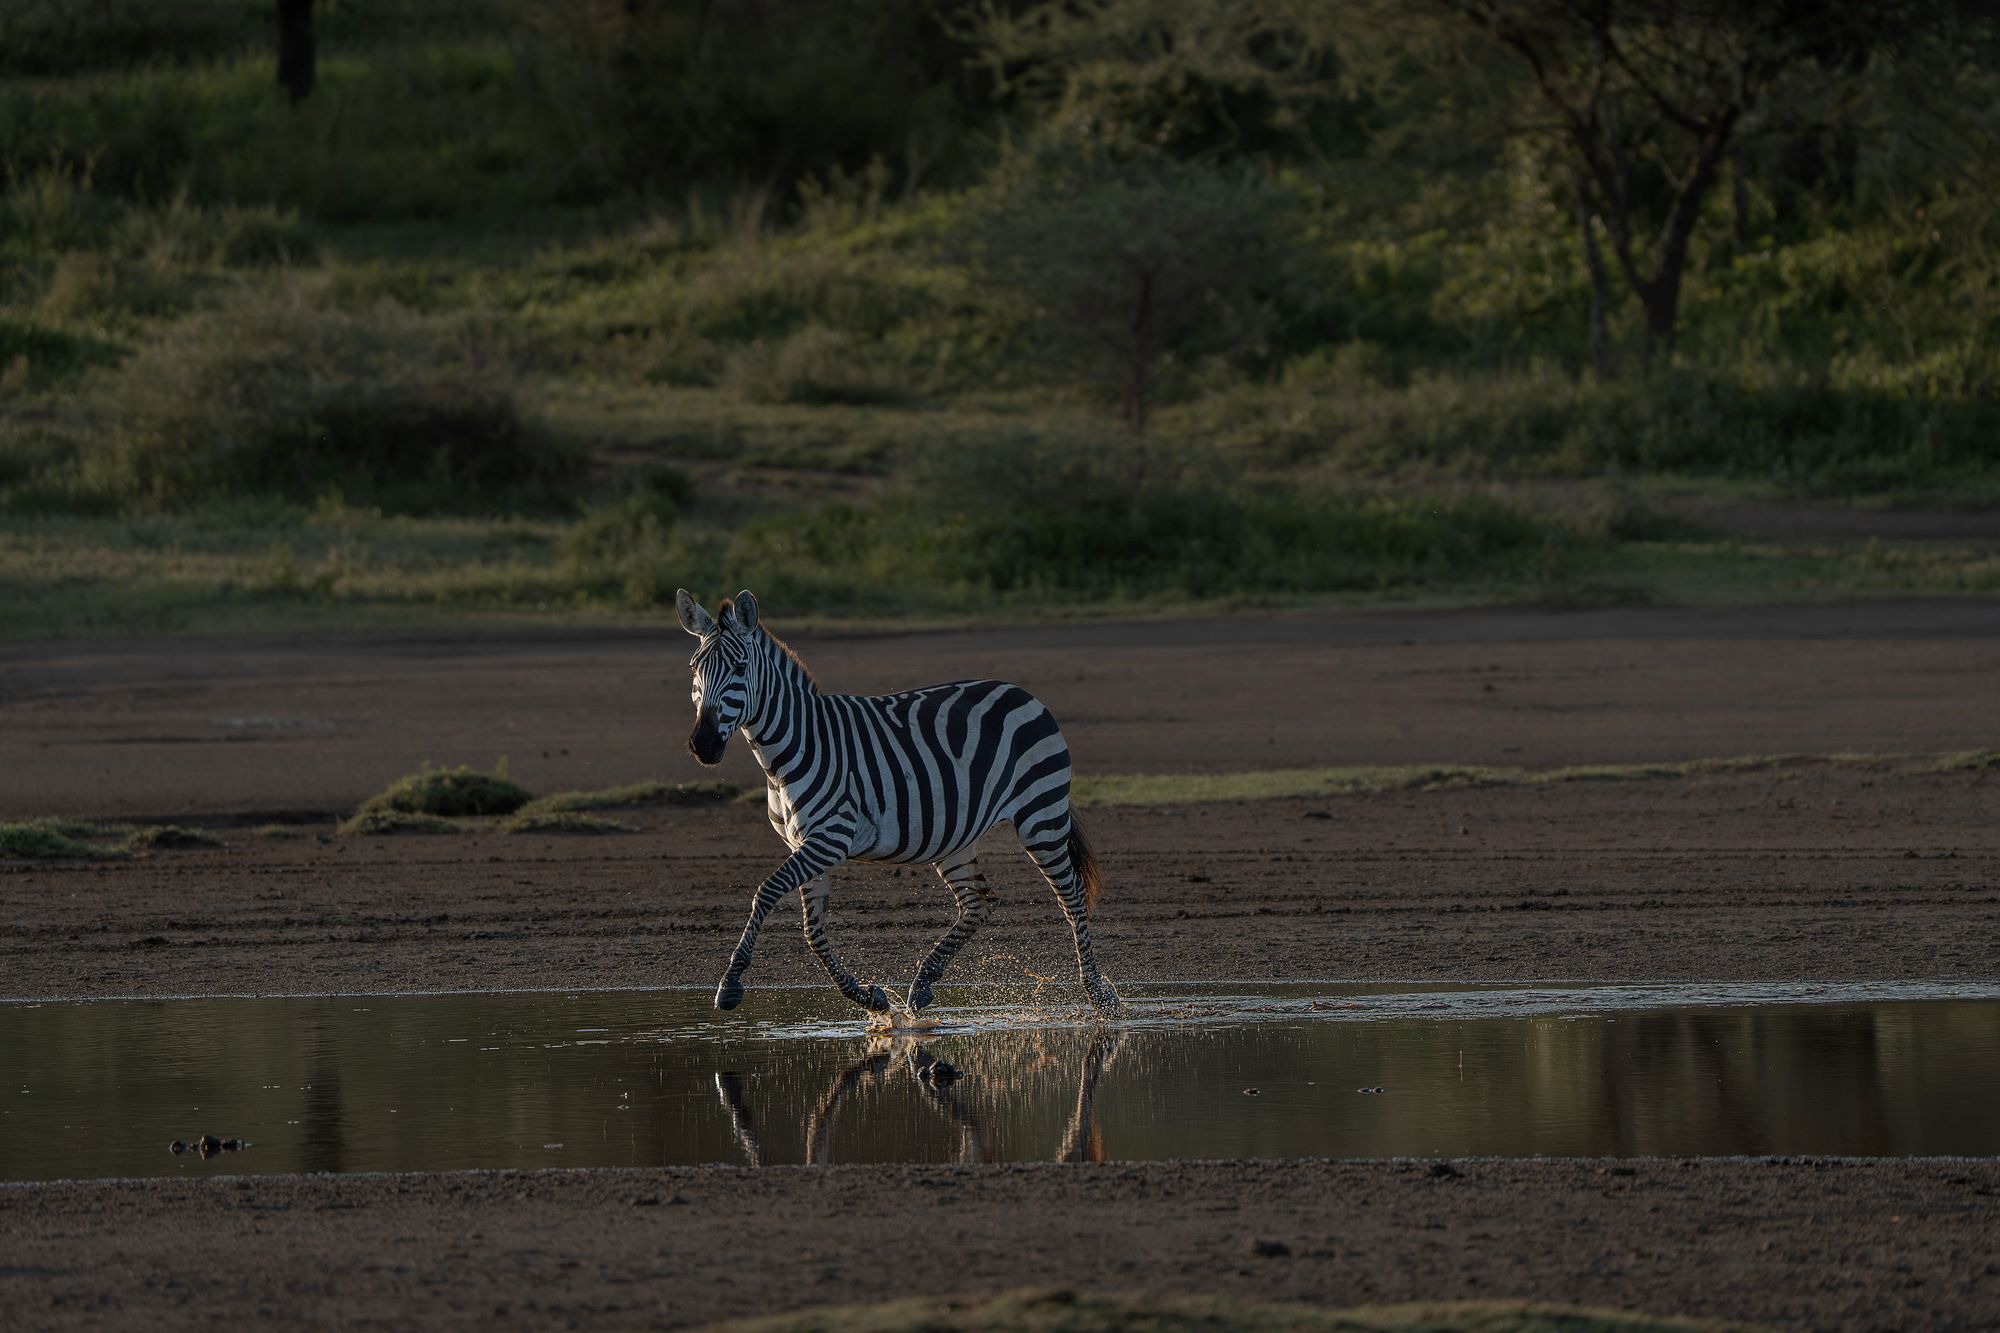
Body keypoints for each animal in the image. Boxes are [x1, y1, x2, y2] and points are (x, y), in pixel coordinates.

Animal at [676, 588, 1119, 1016]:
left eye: (739, 668)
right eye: (694, 670)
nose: (703, 744)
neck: (791, 751)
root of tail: (1019, 691)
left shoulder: (830, 839)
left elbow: (766, 892)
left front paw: (730, 985)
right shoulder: (804, 844)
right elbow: (813, 932)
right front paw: (869, 997)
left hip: (1040, 815)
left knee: (1071, 896)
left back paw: (1100, 995)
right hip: (955, 835)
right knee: (978, 901)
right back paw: (922, 983)